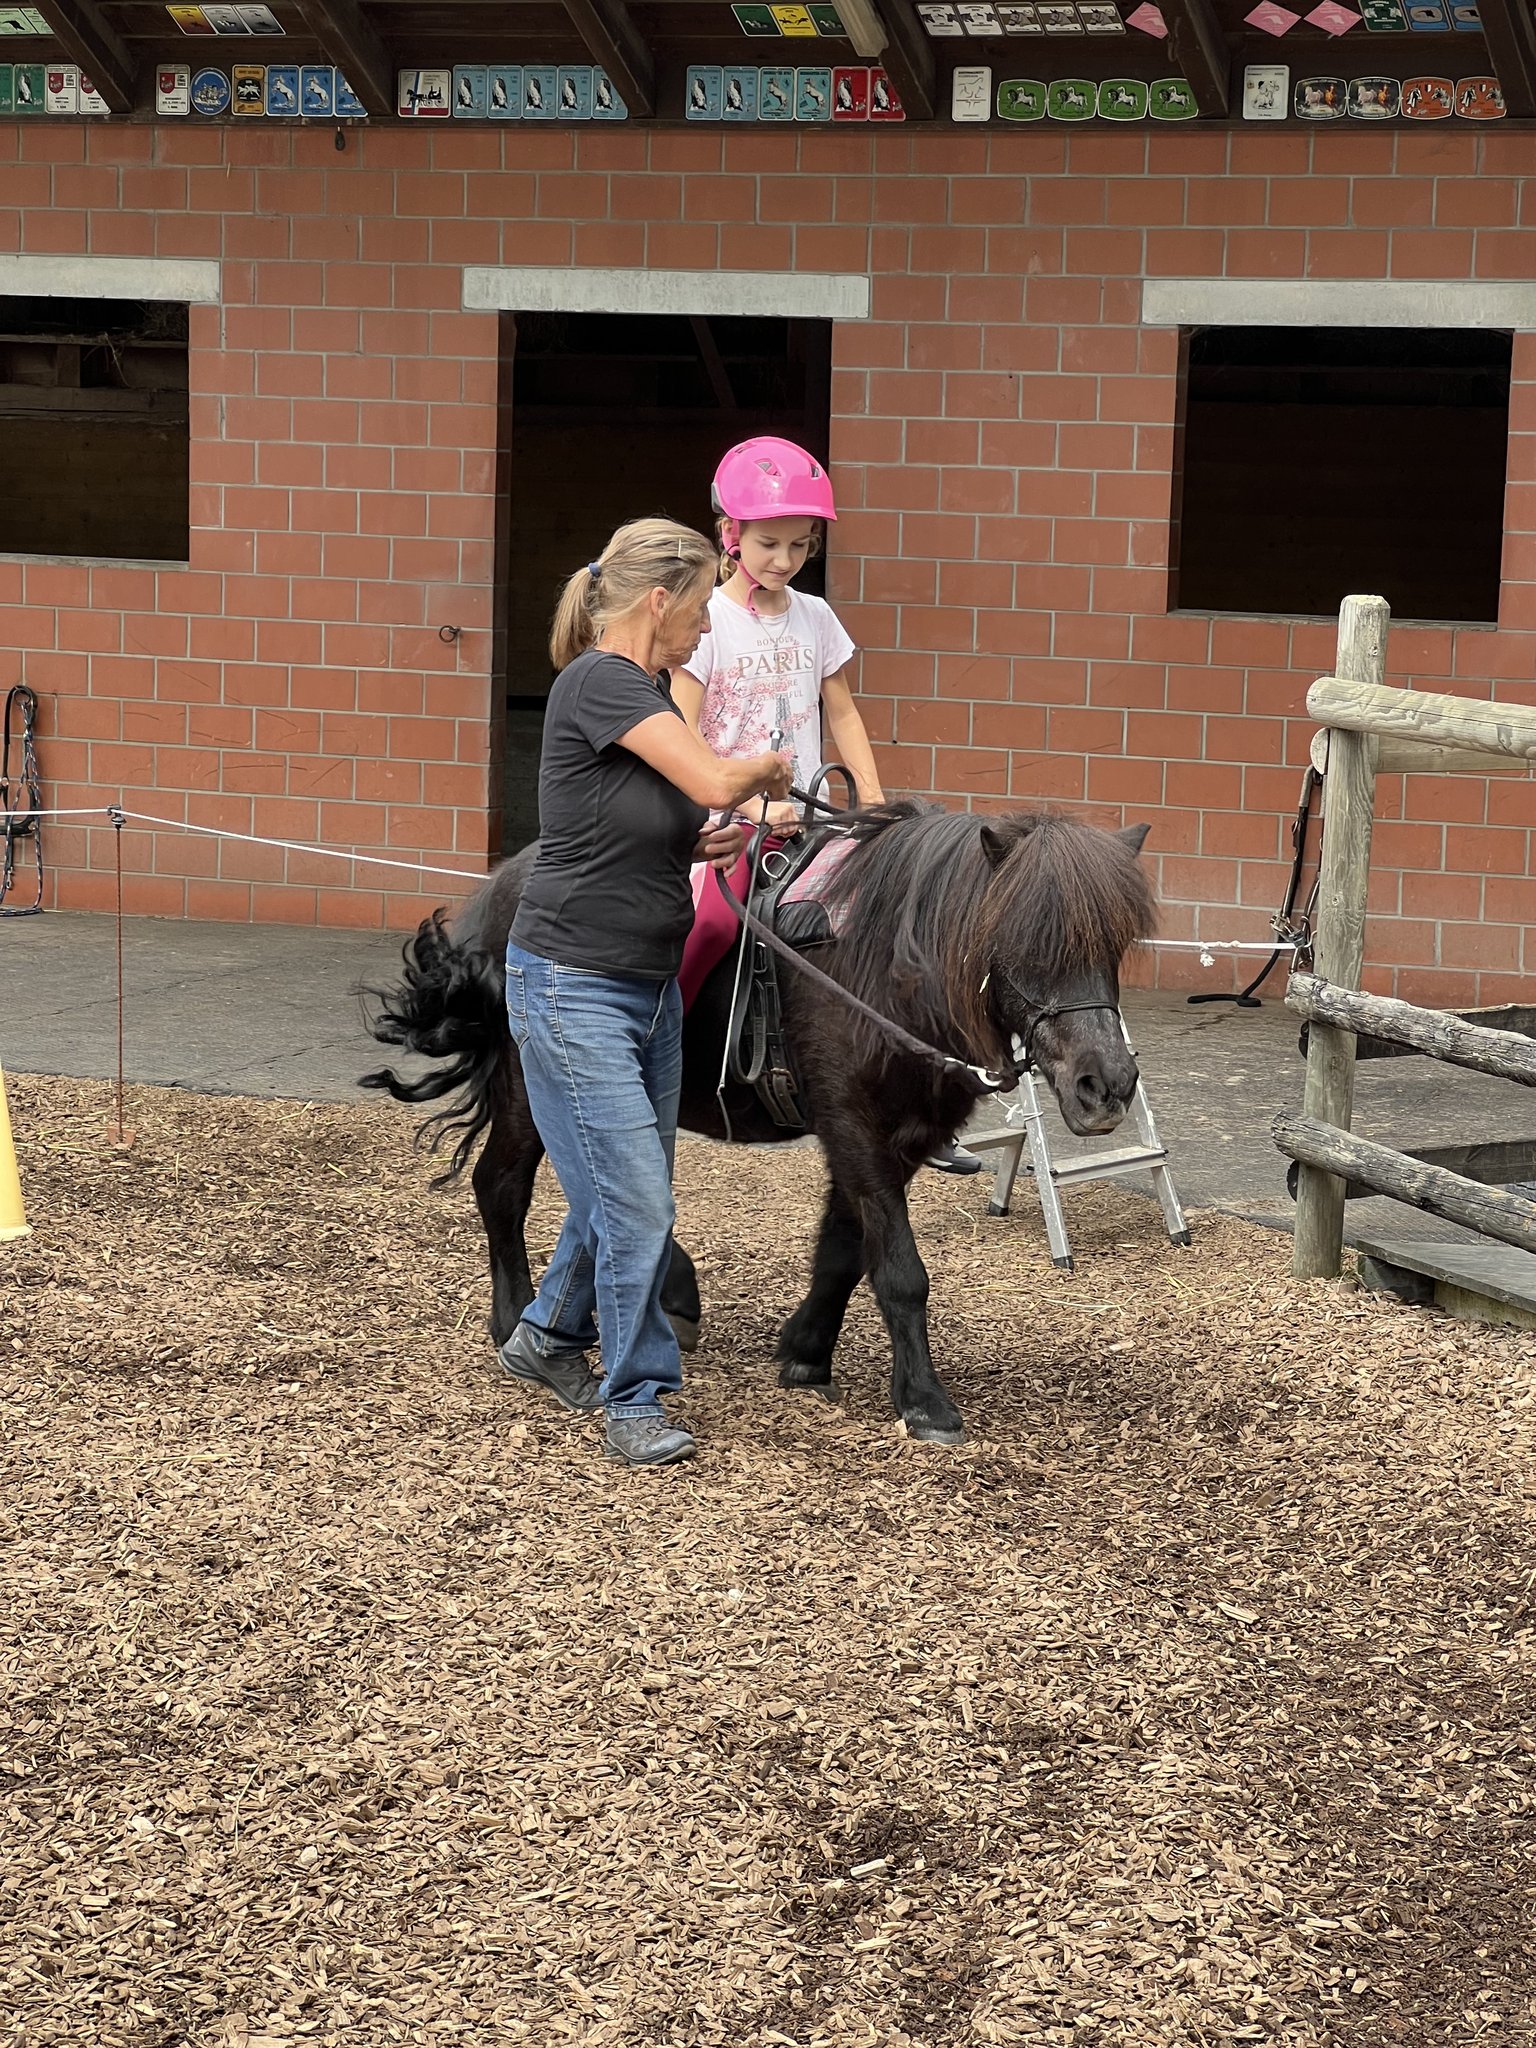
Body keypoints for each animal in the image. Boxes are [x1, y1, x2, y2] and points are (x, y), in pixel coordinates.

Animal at [362, 802, 1156, 1445]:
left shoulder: (893, 1136)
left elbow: (843, 1250)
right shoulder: (855, 1124)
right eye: (1025, 939)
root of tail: (506, 884)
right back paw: (517, 1319)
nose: (1107, 1086)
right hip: (533, 1082)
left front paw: (806, 1349)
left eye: (1113, 946)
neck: (879, 960)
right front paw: (924, 1400)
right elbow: (900, 1269)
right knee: (505, 1187)